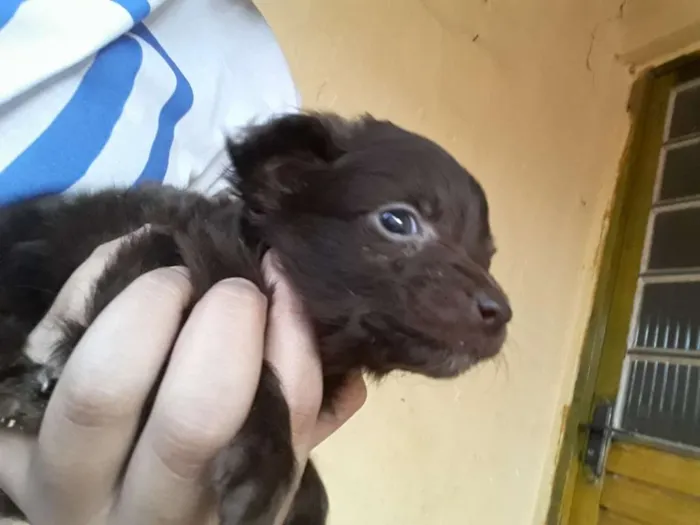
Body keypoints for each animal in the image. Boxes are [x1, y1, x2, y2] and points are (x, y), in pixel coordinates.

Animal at [0, 113, 508, 524]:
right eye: (397, 221)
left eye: (487, 256)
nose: (501, 313)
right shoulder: (154, 259)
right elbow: (258, 381)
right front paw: (264, 465)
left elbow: (316, 490)